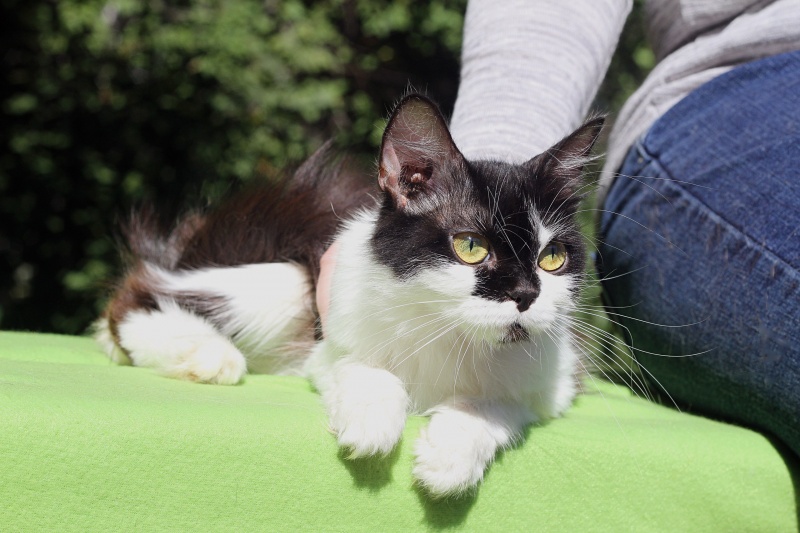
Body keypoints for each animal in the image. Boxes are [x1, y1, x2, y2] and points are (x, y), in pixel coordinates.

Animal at [95, 94, 604, 497]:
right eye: (470, 247)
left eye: (552, 257)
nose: (526, 294)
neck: (454, 335)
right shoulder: (329, 336)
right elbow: (364, 367)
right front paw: (372, 423)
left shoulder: (554, 382)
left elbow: (497, 405)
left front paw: (451, 456)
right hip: (284, 272)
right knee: (140, 293)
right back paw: (205, 355)